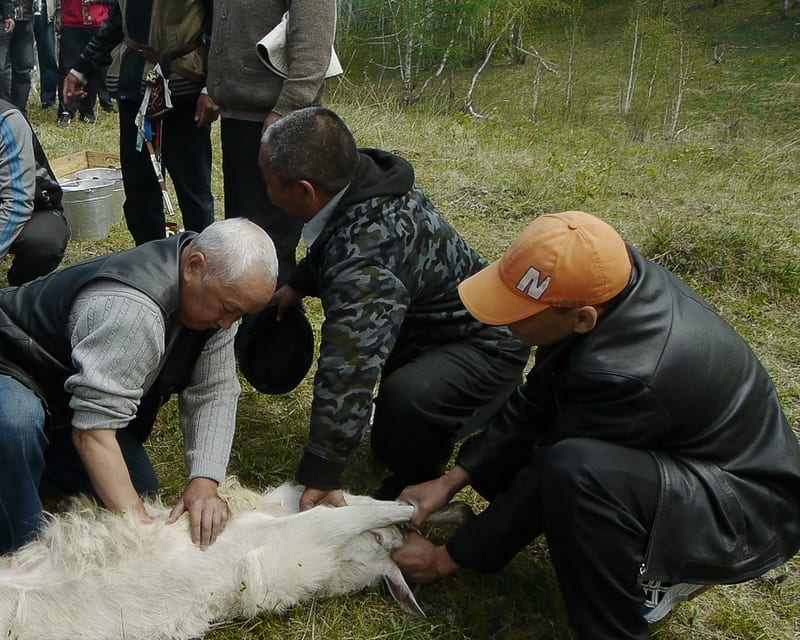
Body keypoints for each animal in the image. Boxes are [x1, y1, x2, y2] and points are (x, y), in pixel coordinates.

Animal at [0, 478, 469, 640]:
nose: (393, 540)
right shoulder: (312, 520)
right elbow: (376, 506)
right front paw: (434, 509)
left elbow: (374, 506)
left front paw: (448, 510)